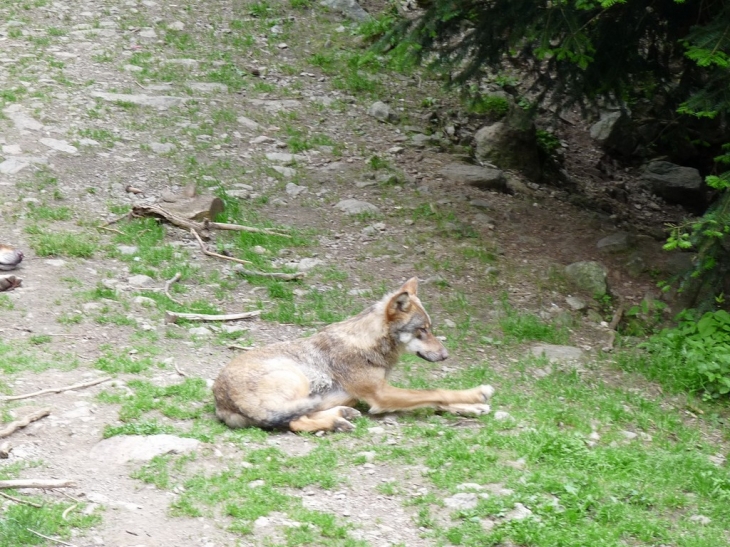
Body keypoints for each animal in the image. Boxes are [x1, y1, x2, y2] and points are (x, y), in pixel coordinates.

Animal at [212, 278, 494, 432]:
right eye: (422, 330)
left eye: (431, 329)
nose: (445, 355)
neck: (368, 343)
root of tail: (220, 397)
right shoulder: (381, 395)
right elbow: (435, 392)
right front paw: (477, 394)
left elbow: (434, 400)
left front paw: (471, 407)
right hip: (297, 378)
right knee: (295, 422)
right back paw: (336, 423)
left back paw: (342, 415)